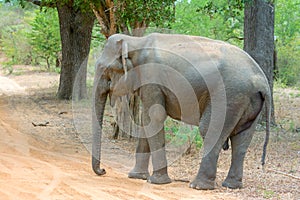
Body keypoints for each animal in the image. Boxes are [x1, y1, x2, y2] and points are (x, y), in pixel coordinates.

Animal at [90, 32, 270, 190]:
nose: (103, 170)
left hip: (228, 97)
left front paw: (156, 182)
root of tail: (262, 82)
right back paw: (231, 186)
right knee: (242, 140)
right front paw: (136, 176)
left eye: (105, 70)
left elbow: (155, 118)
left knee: (209, 131)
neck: (135, 41)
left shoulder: (151, 77)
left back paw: (198, 186)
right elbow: (146, 121)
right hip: (248, 103)